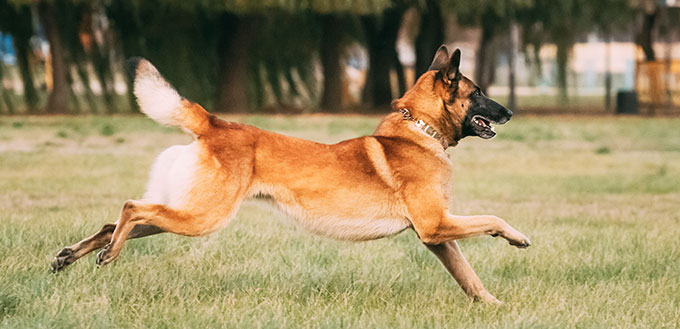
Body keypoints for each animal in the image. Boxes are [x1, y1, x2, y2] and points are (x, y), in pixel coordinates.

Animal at [53, 45, 532, 302]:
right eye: (478, 93)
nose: (510, 112)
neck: (419, 132)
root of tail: (214, 122)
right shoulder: (437, 225)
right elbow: (492, 219)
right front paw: (516, 237)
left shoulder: (436, 237)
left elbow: (469, 277)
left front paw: (493, 306)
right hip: (201, 217)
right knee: (131, 207)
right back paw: (107, 255)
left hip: (184, 212)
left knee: (114, 221)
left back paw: (73, 255)